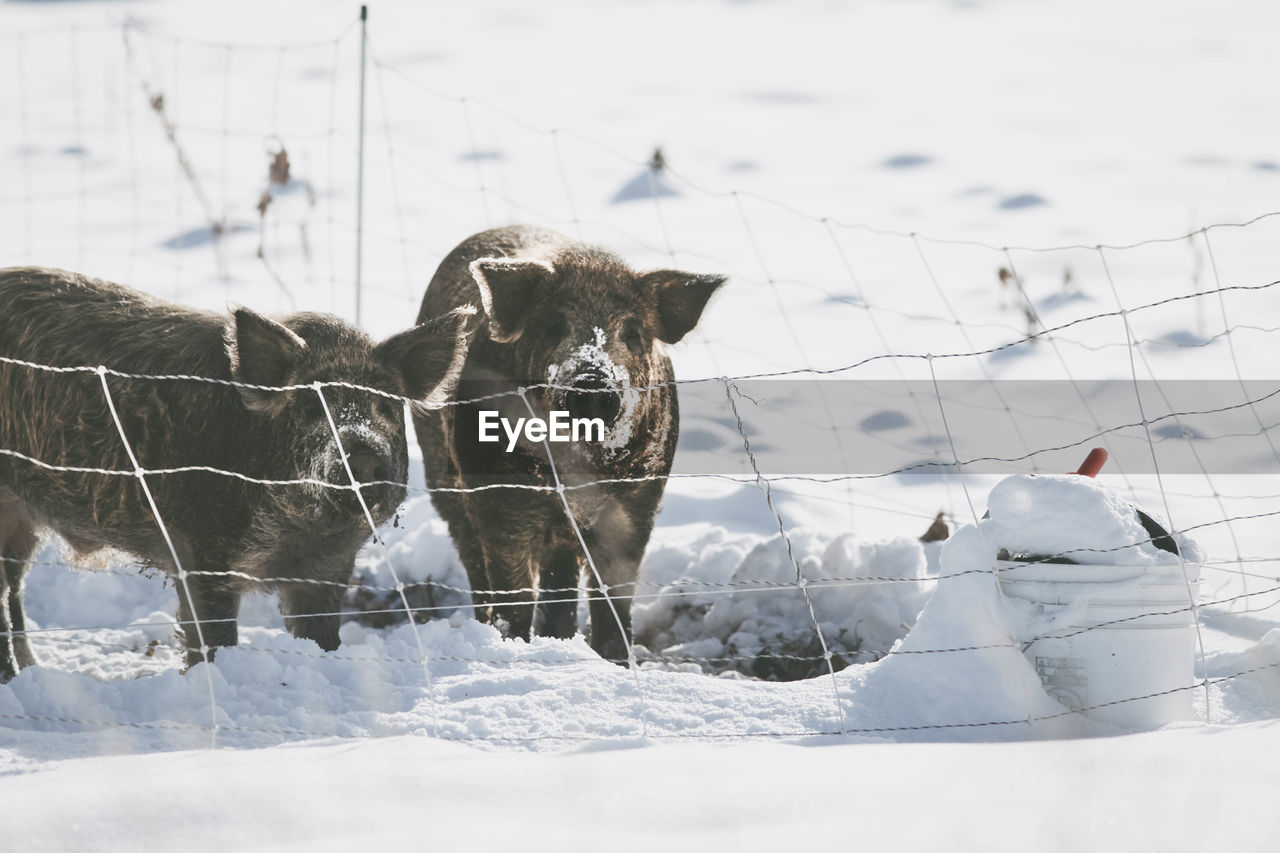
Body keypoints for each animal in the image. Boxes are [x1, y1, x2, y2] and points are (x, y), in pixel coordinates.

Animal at [0, 266, 478, 676]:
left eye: (384, 405)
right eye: (309, 406)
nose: (360, 452)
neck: (302, 529)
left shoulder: (331, 565)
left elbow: (323, 637)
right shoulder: (201, 550)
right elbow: (213, 639)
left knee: (13, 591)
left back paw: (32, 669)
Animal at [414, 224, 727, 655]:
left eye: (633, 332)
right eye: (553, 327)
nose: (592, 384)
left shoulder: (639, 503)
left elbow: (612, 598)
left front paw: (615, 660)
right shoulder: (500, 502)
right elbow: (515, 594)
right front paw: (513, 647)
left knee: (559, 583)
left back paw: (559, 640)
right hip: (443, 479)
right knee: (476, 564)